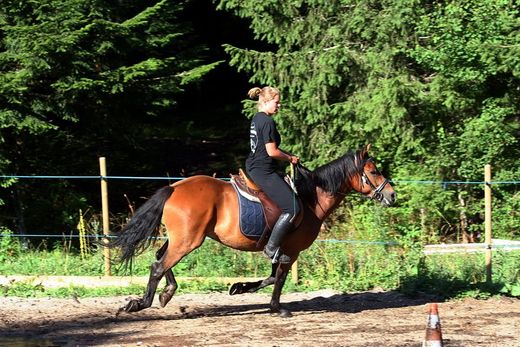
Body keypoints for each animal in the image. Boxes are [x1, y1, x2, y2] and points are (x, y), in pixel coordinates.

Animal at [107, 144, 396, 318]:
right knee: (159, 265)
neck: (310, 199)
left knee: (160, 258)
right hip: (188, 240)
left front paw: (239, 287)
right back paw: (141, 303)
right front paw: (276, 308)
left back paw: (167, 293)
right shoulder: (290, 251)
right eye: (373, 171)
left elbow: (270, 277)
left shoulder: (282, 251)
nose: (392, 195)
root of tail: (174, 188)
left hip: (181, 238)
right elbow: (278, 279)